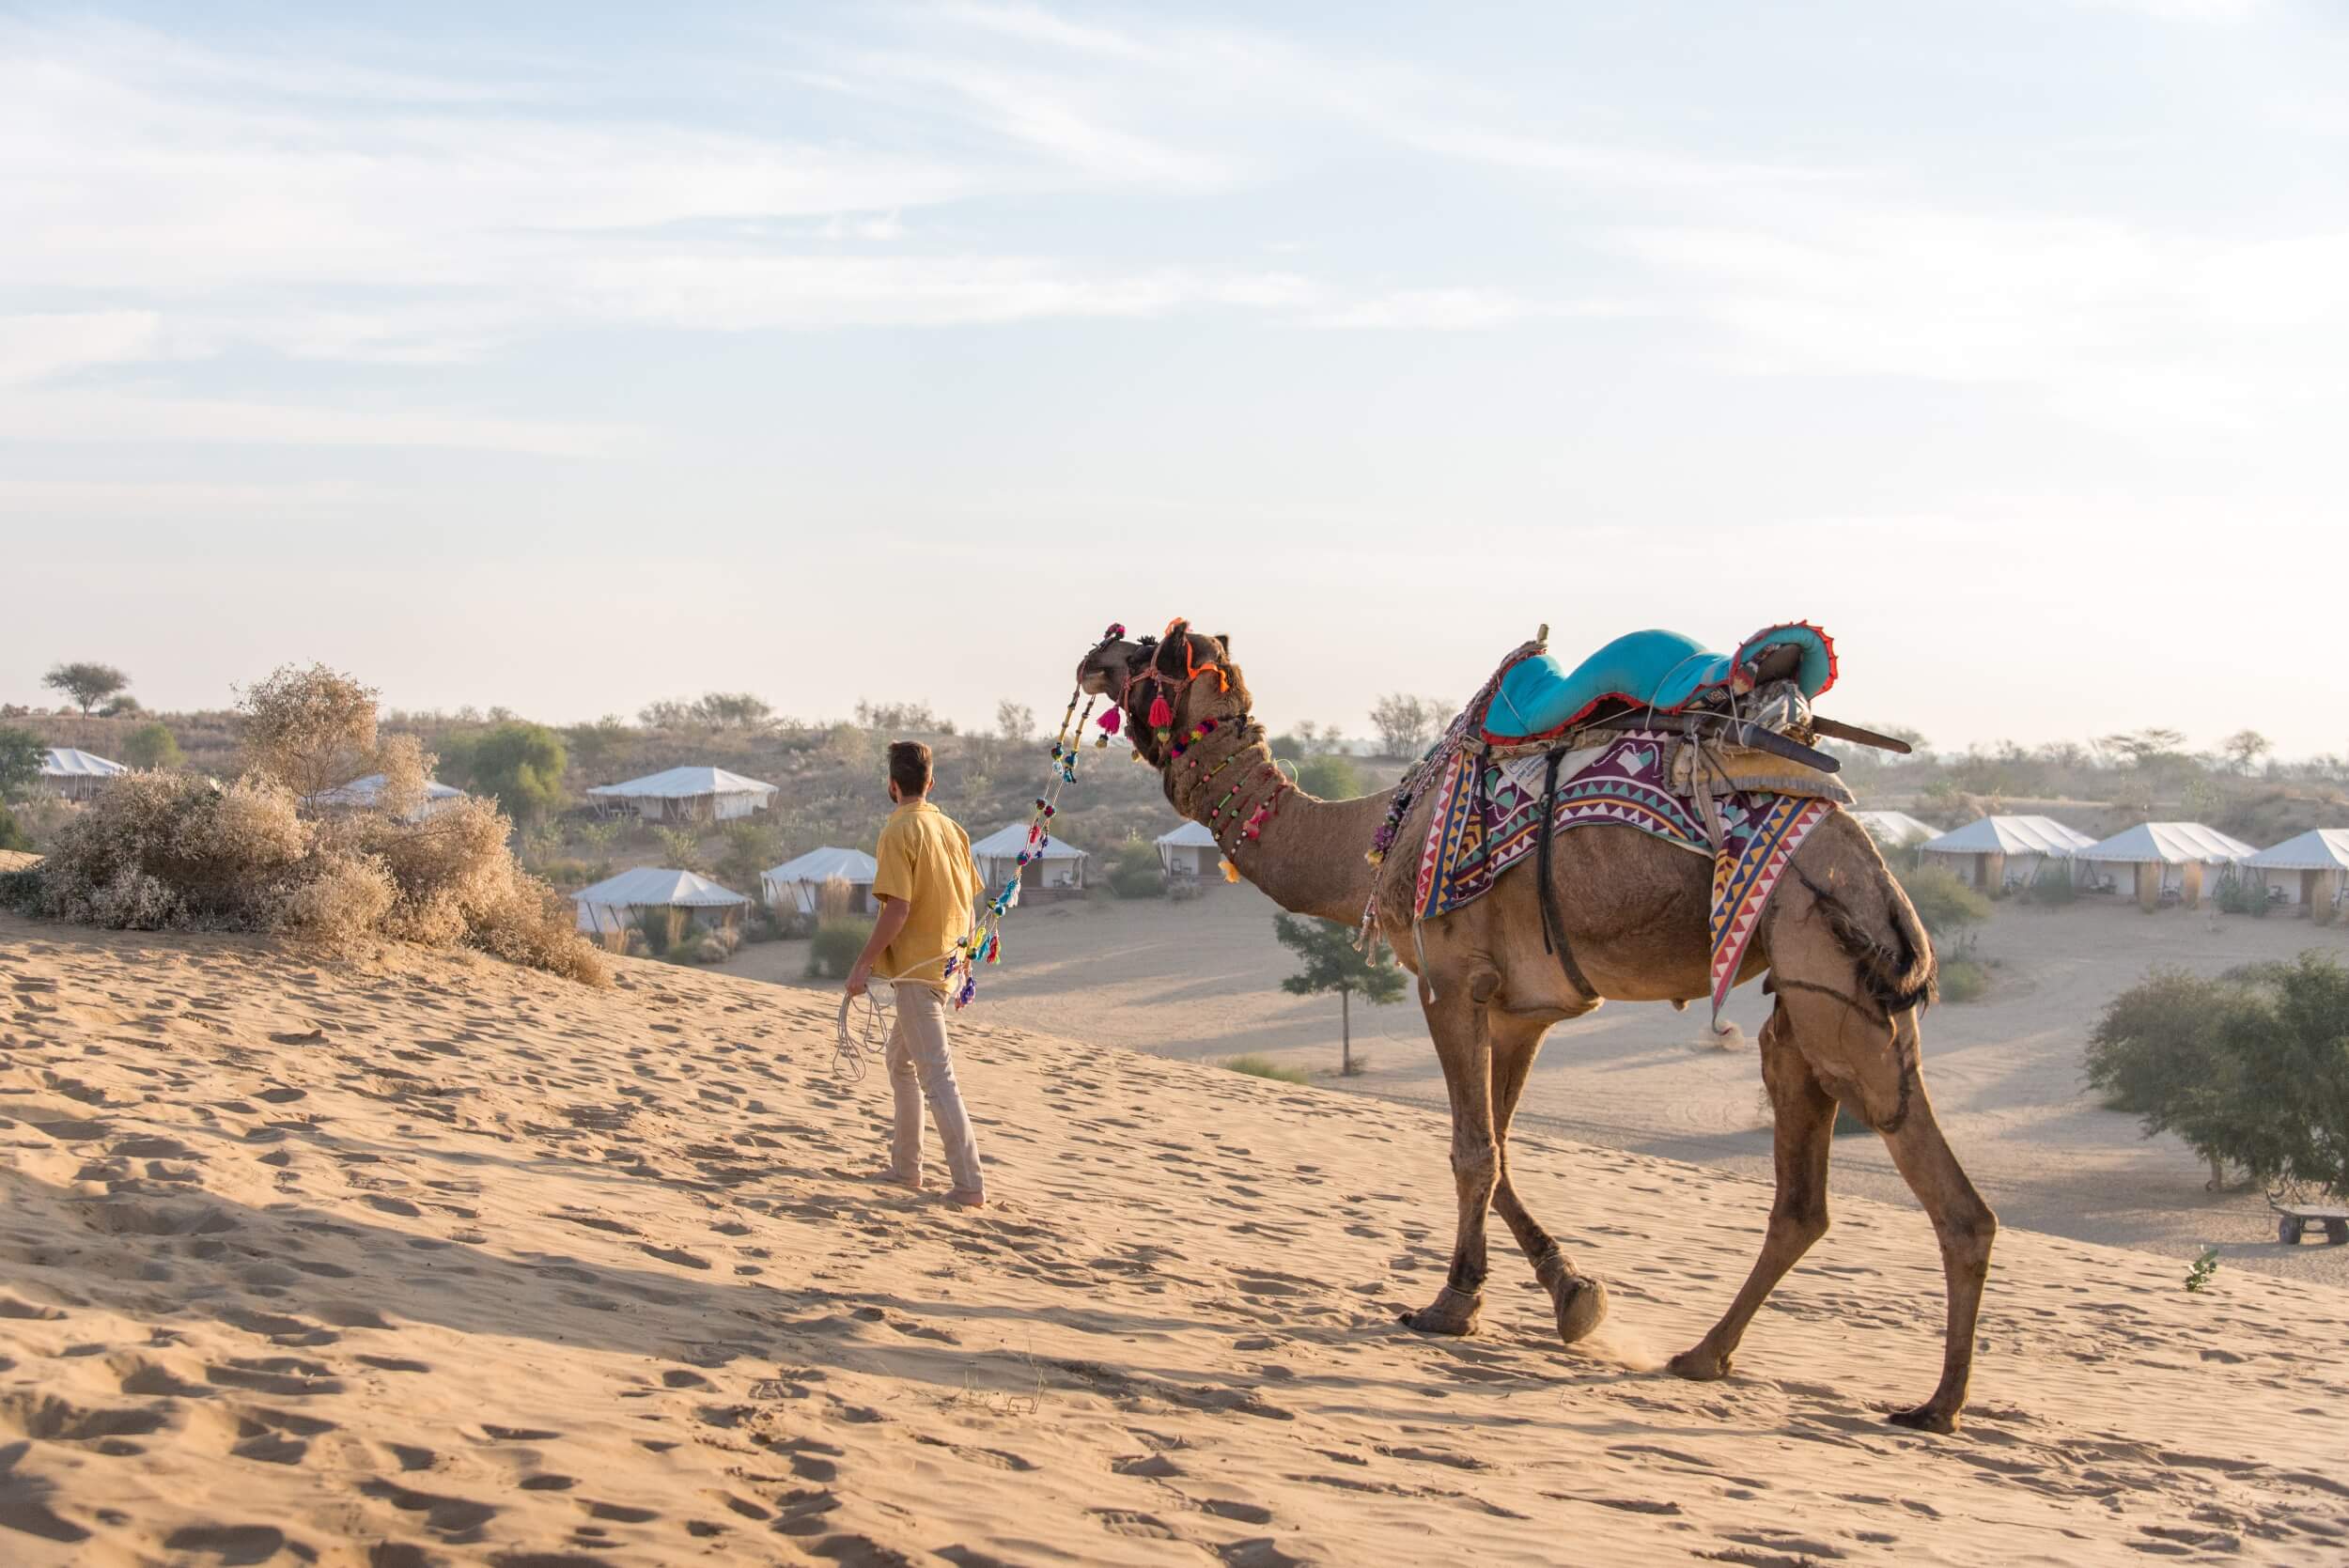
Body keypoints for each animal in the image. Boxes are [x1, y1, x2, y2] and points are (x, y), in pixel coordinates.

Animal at [1076, 619, 1992, 1436]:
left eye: (1158, 651)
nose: (1095, 653)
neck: (1375, 839)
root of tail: (1870, 857)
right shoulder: (1525, 1009)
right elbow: (1503, 1150)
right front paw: (1575, 1297)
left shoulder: (1448, 980)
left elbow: (1472, 1150)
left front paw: (1452, 1303)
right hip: (1812, 1002)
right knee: (1809, 1199)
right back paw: (1709, 1356)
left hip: (1827, 980)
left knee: (1941, 1195)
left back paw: (1934, 1405)